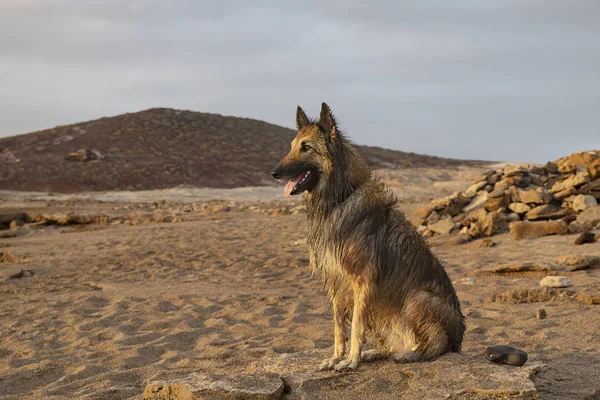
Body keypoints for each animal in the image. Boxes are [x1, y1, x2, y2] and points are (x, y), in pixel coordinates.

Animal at [270, 103, 466, 372]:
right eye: (291, 147)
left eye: (306, 148)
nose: (274, 173)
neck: (339, 199)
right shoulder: (336, 283)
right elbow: (338, 327)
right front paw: (336, 358)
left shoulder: (362, 280)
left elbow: (355, 327)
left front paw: (351, 361)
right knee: (392, 345)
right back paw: (377, 353)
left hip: (417, 299)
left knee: (440, 343)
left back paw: (412, 354)